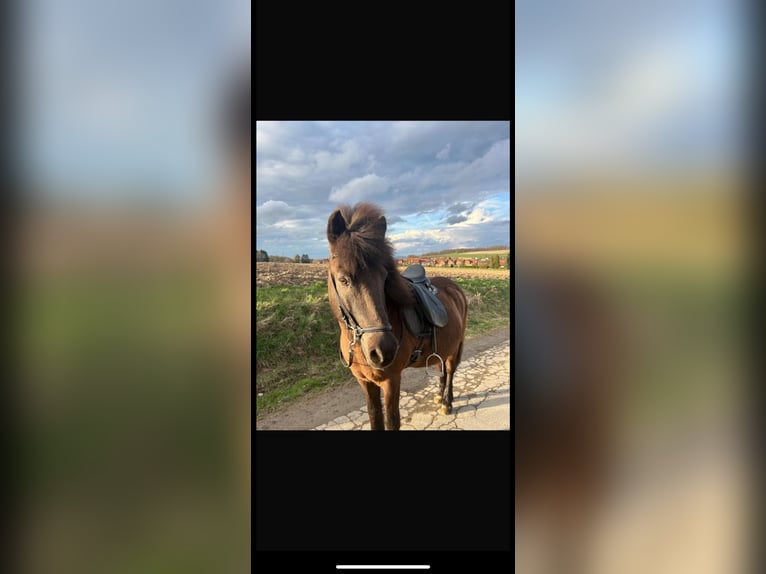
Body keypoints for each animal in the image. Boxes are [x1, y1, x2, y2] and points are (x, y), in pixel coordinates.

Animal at [326, 202, 468, 431]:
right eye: (343, 279)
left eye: (384, 277)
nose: (383, 351)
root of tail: (455, 288)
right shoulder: (365, 383)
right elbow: (374, 417)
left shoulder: (391, 381)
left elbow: (392, 421)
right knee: (443, 370)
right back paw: (440, 396)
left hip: (455, 347)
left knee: (450, 370)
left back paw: (447, 402)